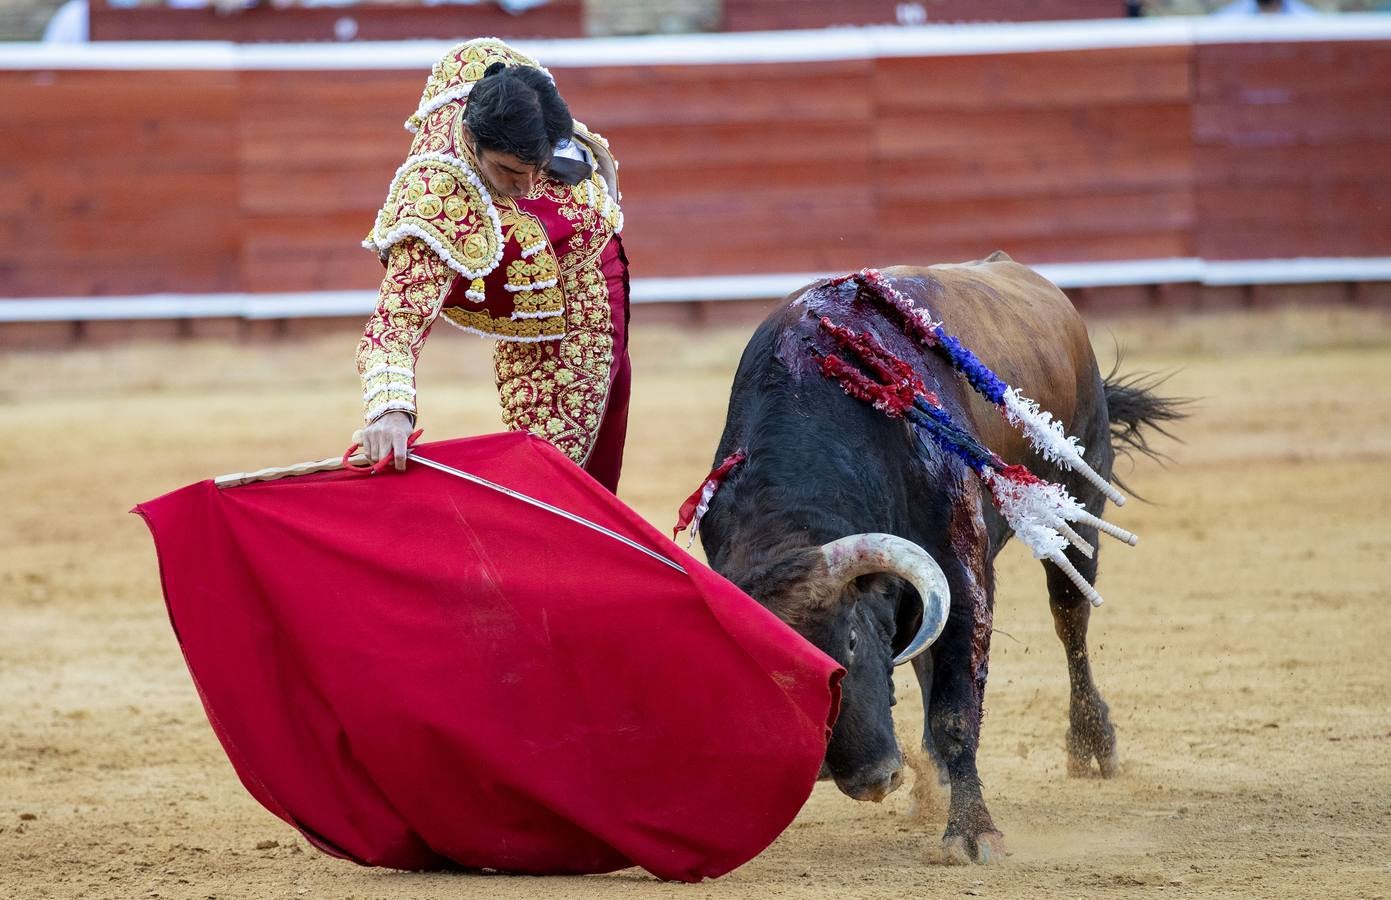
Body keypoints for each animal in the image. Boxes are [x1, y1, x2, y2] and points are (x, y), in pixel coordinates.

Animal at [701, 255, 1179, 868]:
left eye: (850, 641)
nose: (873, 779)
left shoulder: (963, 573)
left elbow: (957, 708)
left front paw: (973, 834)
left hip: (1078, 499)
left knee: (1071, 618)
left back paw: (1093, 745)